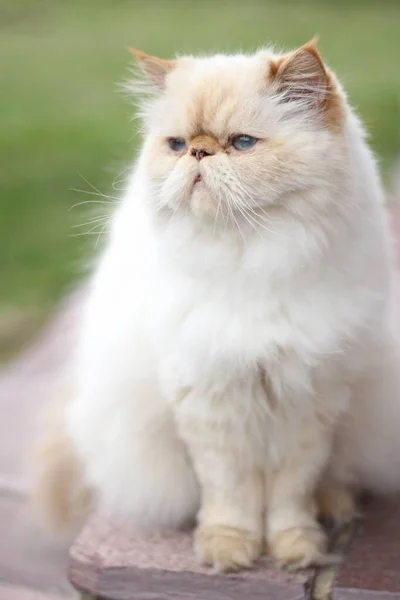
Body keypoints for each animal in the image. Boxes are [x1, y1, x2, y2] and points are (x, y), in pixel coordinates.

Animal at [34, 42, 400, 572]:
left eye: (242, 144)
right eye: (177, 145)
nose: (199, 152)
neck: (248, 260)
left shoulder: (307, 403)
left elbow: (290, 494)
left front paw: (296, 549)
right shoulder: (211, 403)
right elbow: (232, 495)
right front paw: (230, 550)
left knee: (336, 477)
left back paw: (333, 509)